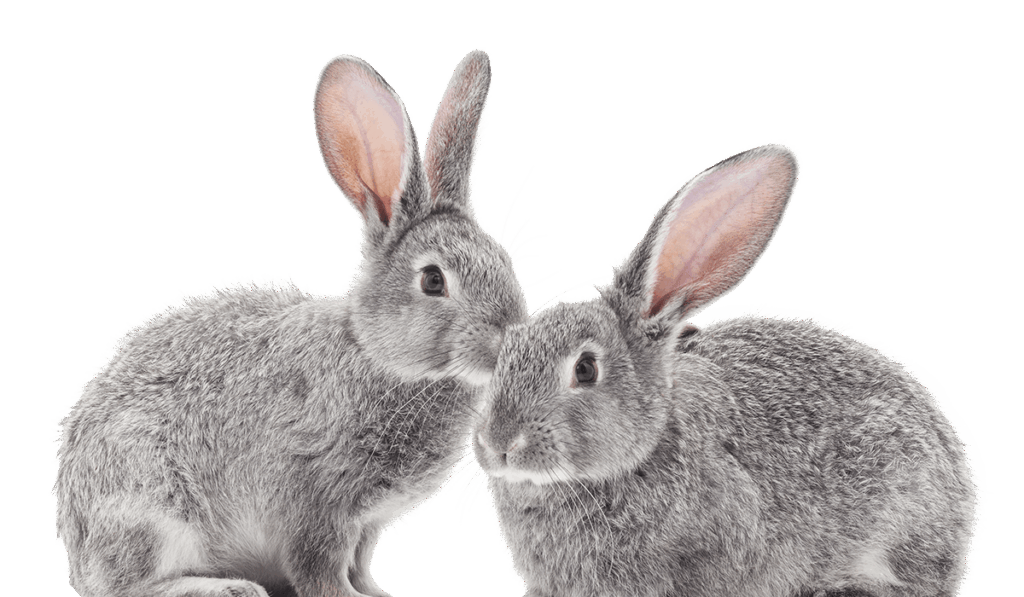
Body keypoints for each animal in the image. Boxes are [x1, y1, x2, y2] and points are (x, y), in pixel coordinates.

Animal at [55, 50, 527, 597]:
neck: (375, 354)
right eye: (433, 280)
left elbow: (360, 562)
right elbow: (318, 567)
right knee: (129, 585)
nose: (509, 334)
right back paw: (229, 588)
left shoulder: (366, 525)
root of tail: (76, 546)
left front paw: (377, 592)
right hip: (151, 510)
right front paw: (346, 596)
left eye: (503, 260)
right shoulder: (316, 502)